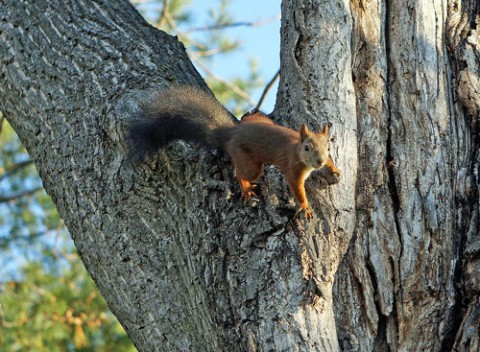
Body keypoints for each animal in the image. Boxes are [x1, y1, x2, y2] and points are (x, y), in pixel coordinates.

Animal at [126, 85, 338, 217]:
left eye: (328, 147)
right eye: (307, 148)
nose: (319, 161)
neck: (297, 150)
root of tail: (232, 133)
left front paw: (334, 169)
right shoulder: (293, 170)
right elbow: (297, 189)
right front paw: (305, 206)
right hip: (248, 163)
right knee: (240, 173)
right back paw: (245, 188)